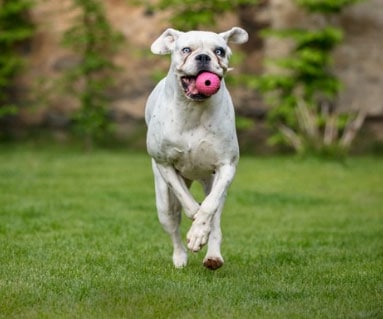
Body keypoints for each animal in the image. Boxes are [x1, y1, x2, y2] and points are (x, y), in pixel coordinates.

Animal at [145, 26, 249, 270]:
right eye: (186, 49)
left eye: (219, 51)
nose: (203, 57)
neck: (194, 109)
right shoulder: (165, 164)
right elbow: (187, 201)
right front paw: (195, 226)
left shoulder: (227, 166)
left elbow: (209, 207)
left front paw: (199, 232)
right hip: (163, 202)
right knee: (173, 225)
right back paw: (180, 257)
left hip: (213, 183)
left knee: (216, 216)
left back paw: (213, 256)